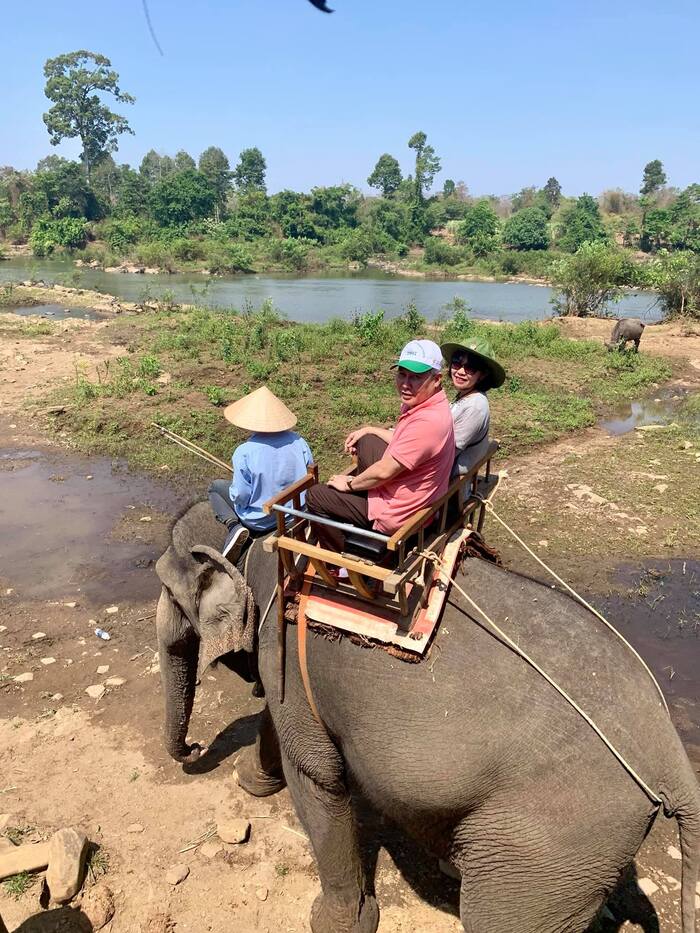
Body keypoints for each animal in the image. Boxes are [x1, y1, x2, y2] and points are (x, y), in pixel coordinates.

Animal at [154, 502, 700, 932]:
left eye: (170, 595)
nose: (195, 749)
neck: (256, 534)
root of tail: (671, 759)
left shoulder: (282, 638)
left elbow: (316, 775)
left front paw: (333, 925)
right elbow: (281, 721)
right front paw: (252, 783)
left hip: (554, 843)